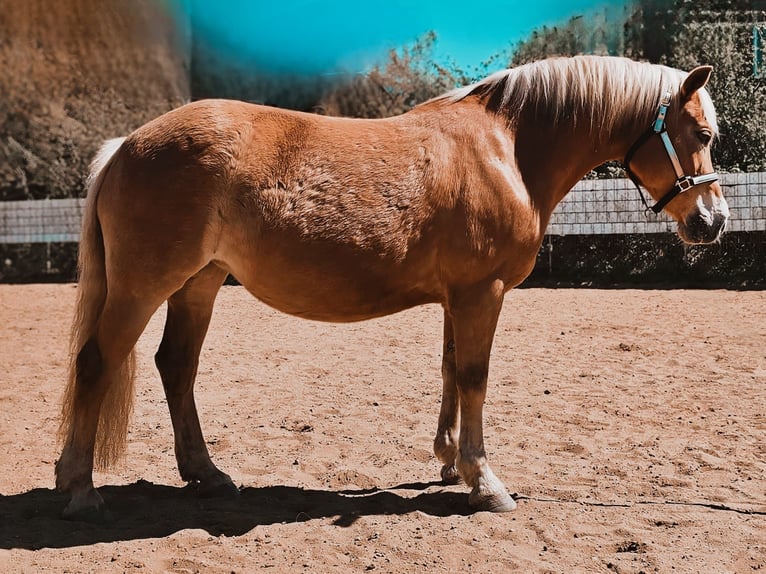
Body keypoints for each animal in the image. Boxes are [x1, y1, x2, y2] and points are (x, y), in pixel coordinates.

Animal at [56, 55, 729, 520]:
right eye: (702, 134)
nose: (713, 221)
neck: (506, 149)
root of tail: (126, 146)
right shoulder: (482, 292)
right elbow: (475, 376)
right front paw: (485, 483)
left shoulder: (461, 296)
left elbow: (451, 369)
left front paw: (451, 462)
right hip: (144, 286)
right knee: (96, 362)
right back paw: (80, 490)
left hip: (200, 284)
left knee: (177, 366)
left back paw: (207, 473)